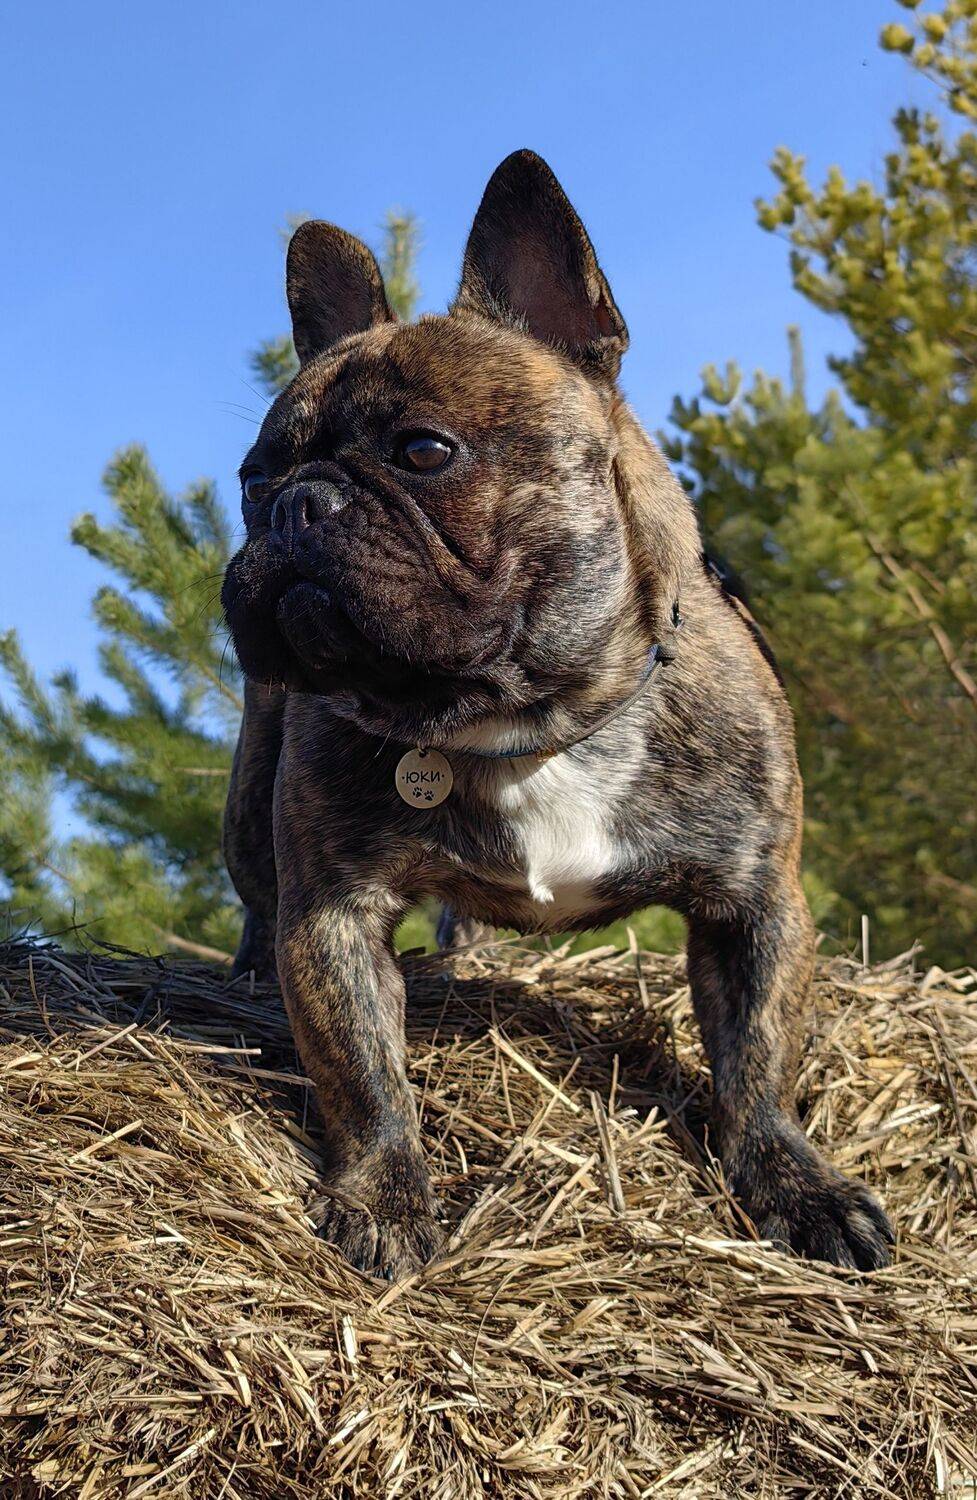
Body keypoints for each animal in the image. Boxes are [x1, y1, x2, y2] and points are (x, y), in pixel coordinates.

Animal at [221, 150, 893, 1280]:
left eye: (423, 452)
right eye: (249, 481)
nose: (295, 505)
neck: (525, 723)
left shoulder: (756, 905)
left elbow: (757, 1061)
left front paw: (798, 1184)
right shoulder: (331, 915)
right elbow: (362, 1070)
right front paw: (384, 1196)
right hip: (250, 810)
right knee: (257, 906)